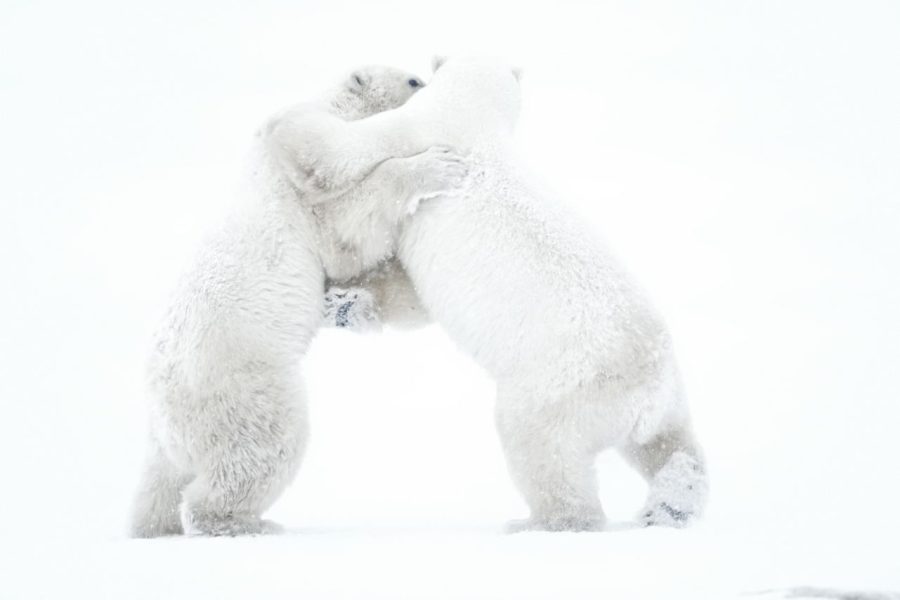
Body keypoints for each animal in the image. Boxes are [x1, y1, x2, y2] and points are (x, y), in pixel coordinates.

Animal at [130, 65, 466, 537]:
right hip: (243, 383)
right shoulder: (303, 194)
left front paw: (354, 302)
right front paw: (438, 165)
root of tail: (164, 406)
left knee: (158, 483)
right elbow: (346, 221)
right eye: (413, 80)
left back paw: (152, 526)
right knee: (262, 448)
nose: (427, 84)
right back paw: (242, 522)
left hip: (169, 436)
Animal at [319, 56, 709, 531]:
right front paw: (346, 305)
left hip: (559, 388)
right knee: (672, 446)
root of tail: (645, 393)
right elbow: (409, 294)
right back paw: (671, 504)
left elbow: (354, 160)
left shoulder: (416, 130)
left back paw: (540, 522)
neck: (475, 115)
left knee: (540, 449)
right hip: (669, 399)